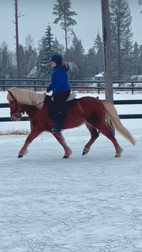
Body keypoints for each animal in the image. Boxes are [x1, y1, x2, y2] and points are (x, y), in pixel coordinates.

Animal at [6, 87, 135, 158]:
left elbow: (28, 139)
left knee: (109, 134)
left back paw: (118, 152)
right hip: (89, 123)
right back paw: (85, 150)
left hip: (98, 122)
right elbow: (61, 140)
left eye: (12, 102)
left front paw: (21, 153)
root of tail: (99, 101)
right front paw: (67, 153)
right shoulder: (53, 129)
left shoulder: (39, 128)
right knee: (95, 135)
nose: (13, 117)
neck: (39, 107)